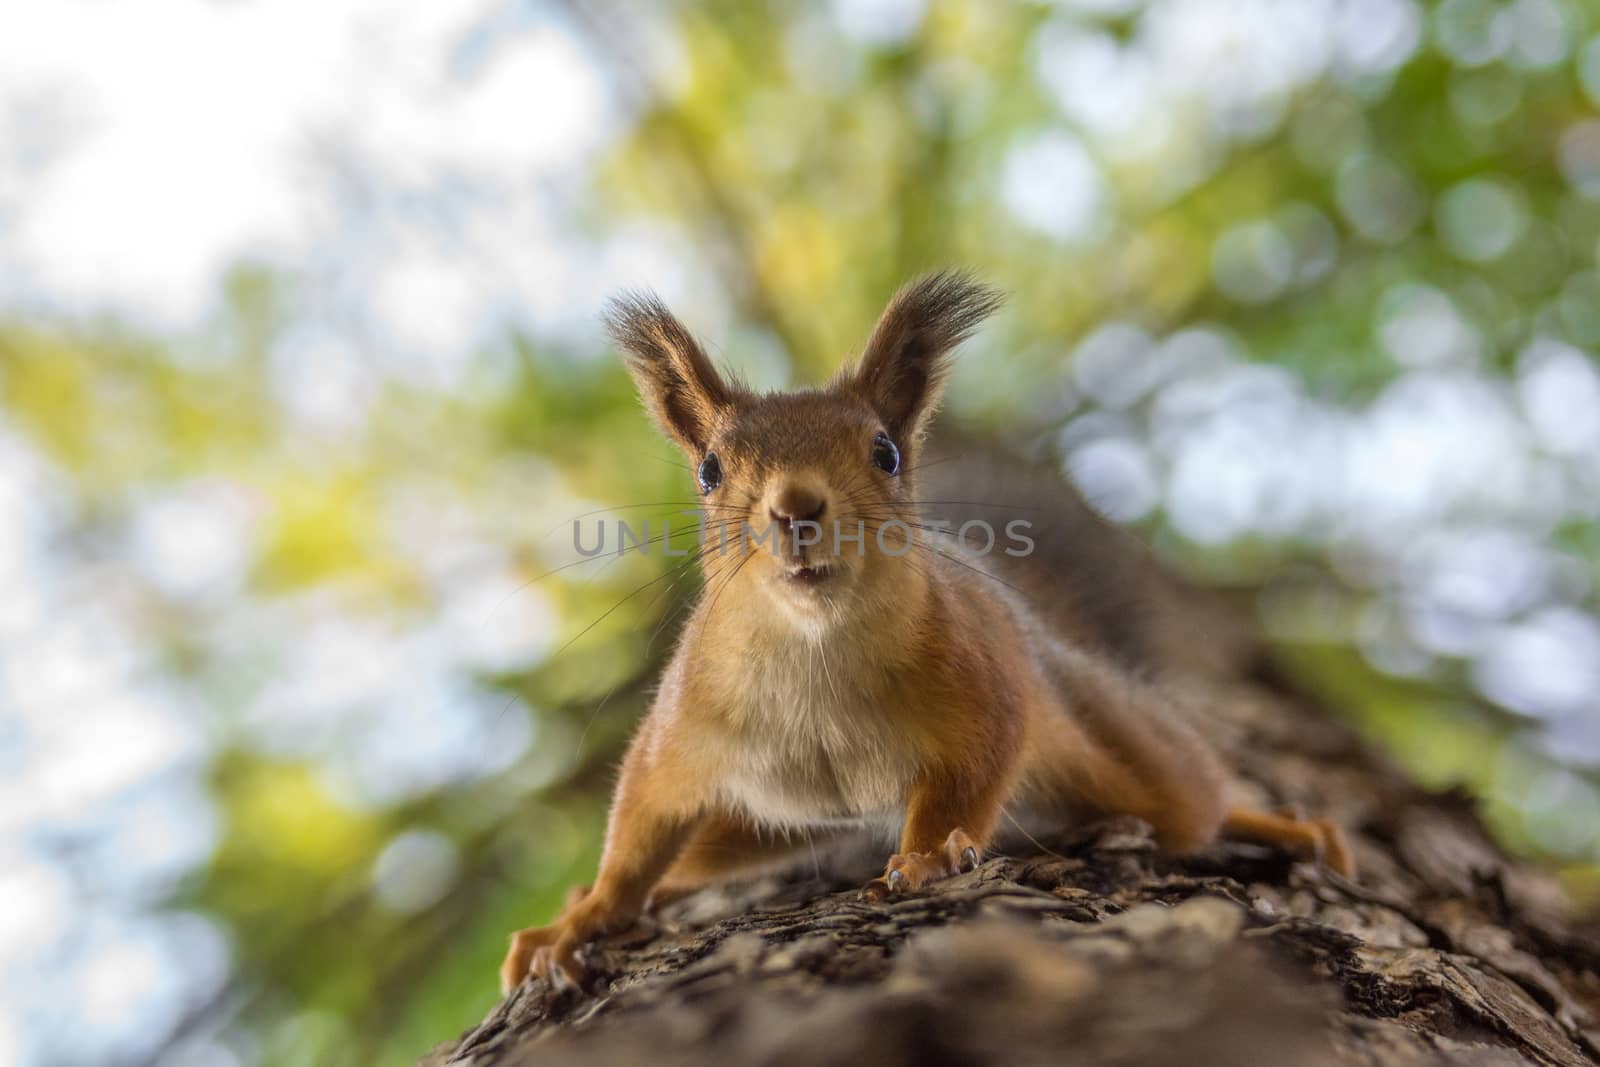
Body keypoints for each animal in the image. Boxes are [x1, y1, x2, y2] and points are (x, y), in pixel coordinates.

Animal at [499, 271, 1350, 998]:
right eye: (709, 469)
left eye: (886, 451)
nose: (795, 506)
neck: (815, 646)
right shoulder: (684, 726)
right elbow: (639, 824)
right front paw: (578, 920)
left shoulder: (986, 681)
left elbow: (968, 775)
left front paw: (929, 854)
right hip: (758, 824)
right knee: (698, 857)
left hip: (1120, 738)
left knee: (1194, 795)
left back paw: (1287, 826)